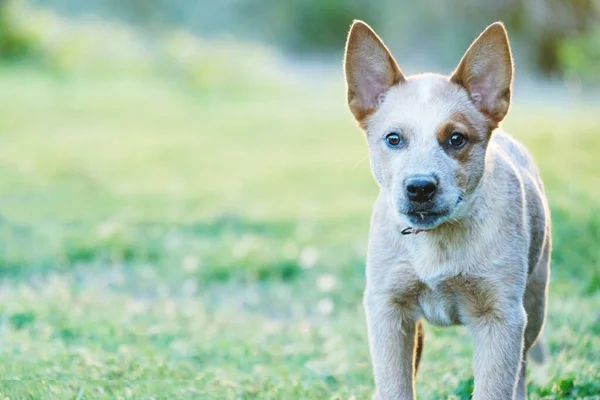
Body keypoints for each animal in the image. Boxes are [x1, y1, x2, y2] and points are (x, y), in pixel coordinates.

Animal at [344, 21, 552, 400]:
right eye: (393, 139)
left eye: (456, 139)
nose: (420, 187)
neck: (436, 243)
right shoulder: (388, 308)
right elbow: (395, 385)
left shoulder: (500, 317)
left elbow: (495, 387)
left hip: (533, 304)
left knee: (522, 368)